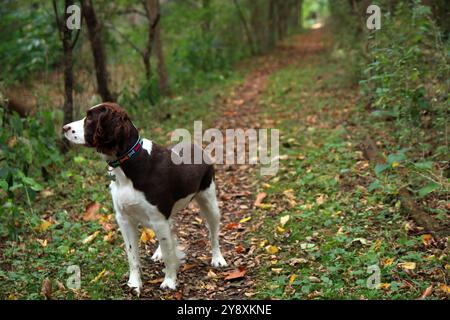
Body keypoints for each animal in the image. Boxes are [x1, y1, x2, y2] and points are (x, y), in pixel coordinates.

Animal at [61, 103, 227, 296]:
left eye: (89, 118)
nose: (64, 128)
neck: (130, 165)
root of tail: (196, 146)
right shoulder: (124, 219)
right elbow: (132, 255)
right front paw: (134, 284)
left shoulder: (158, 218)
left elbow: (170, 254)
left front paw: (169, 281)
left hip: (209, 200)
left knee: (213, 232)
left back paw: (218, 258)